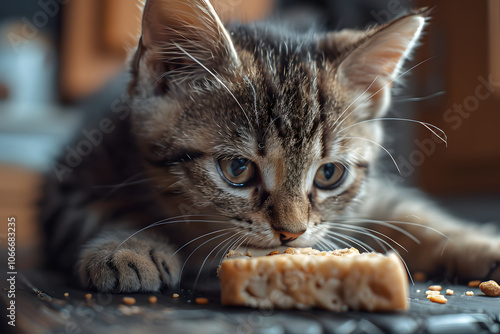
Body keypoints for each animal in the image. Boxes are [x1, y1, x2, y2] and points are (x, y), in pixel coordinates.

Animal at [42, 0, 500, 292]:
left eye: (329, 174)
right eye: (237, 170)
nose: (291, 233)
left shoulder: (368, 200)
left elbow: (411, 213)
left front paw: (477, 243)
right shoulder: (72, 179)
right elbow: (108, 209)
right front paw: (129, 247)